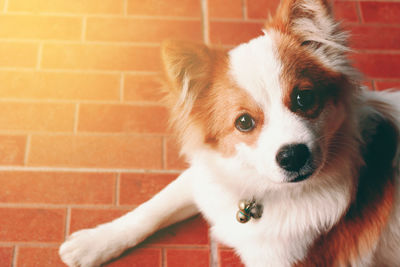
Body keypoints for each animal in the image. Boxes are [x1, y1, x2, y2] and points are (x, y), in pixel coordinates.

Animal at [59, 0, 400, 266]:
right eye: (244, 122)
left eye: (304, 98)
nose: (293, 156)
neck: (263, 190)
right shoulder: (207, 176)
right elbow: (152, 208)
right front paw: (93, 243)